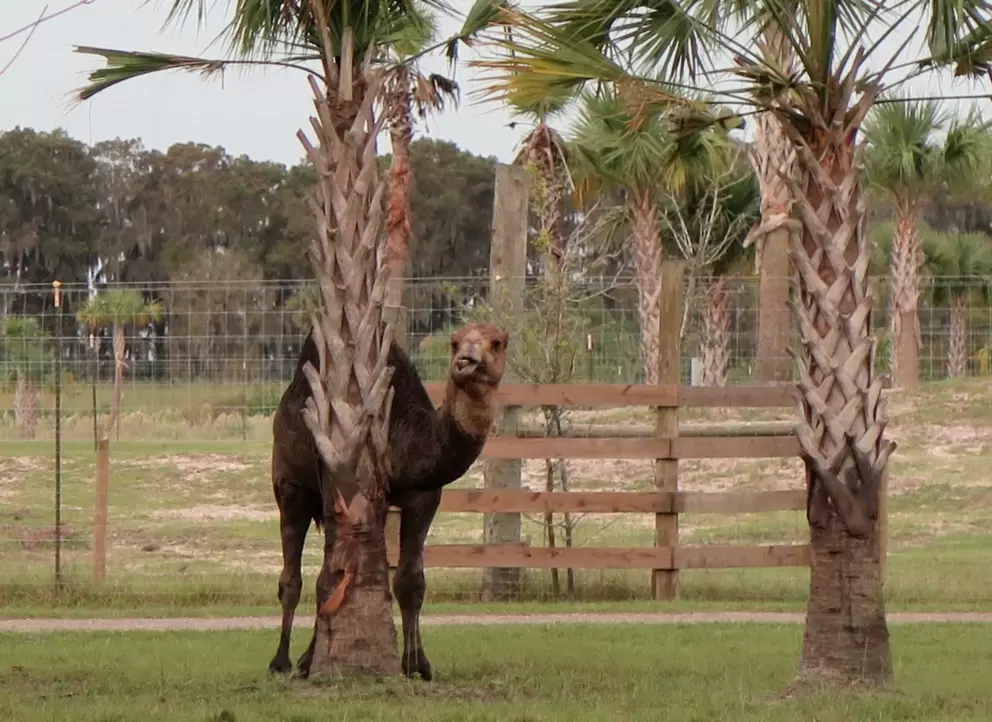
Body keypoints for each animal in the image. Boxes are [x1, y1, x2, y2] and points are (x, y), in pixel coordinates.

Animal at [268, 321, 508, 680]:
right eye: (454, 343)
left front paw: (417, 664)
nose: (466, 362)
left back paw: (307, 658)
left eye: (497, 342)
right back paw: (283, 660)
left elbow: (411, 581)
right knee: (293, 574)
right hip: (289, 483)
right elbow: (328, 576)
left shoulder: (425, 495)